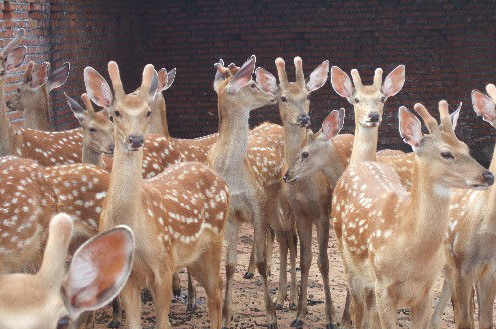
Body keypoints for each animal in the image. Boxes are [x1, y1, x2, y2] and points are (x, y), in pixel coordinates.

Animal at [85, 60, 231, 328]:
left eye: (147, 112)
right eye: (115, 113)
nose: (135, 139)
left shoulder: (163, 264)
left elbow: (163, 321)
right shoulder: (128, 278)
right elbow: (133, 322)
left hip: (214, 241)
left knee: (216, 291)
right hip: (193, 256)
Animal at [330, 100, 492, 328]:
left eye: (466, 147)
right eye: (446, 153)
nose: (488, 175)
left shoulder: (426, 289)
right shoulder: (383, 285)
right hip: (348, 260)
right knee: (357, 309)